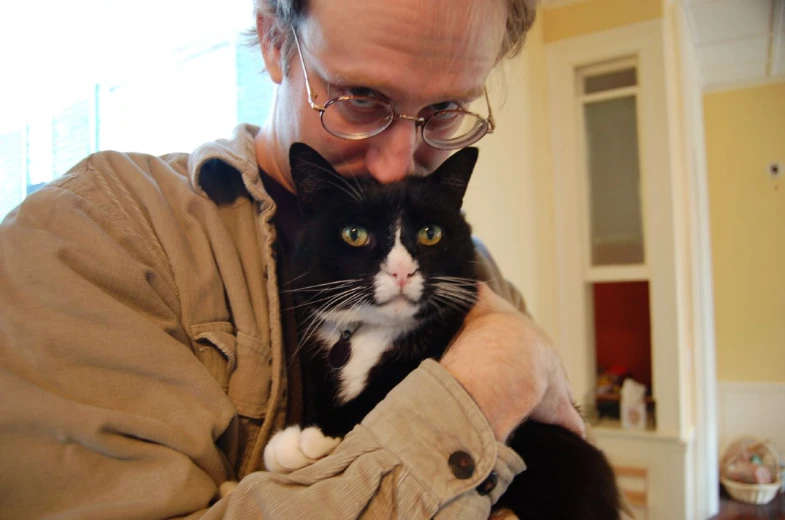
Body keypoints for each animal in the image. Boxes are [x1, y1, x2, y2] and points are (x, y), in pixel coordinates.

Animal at [262, 143, 620, 520]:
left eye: (430, 233)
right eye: (354, 235)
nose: (401, 272)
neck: (375, 332)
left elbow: (387, 390)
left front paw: (302, 438)